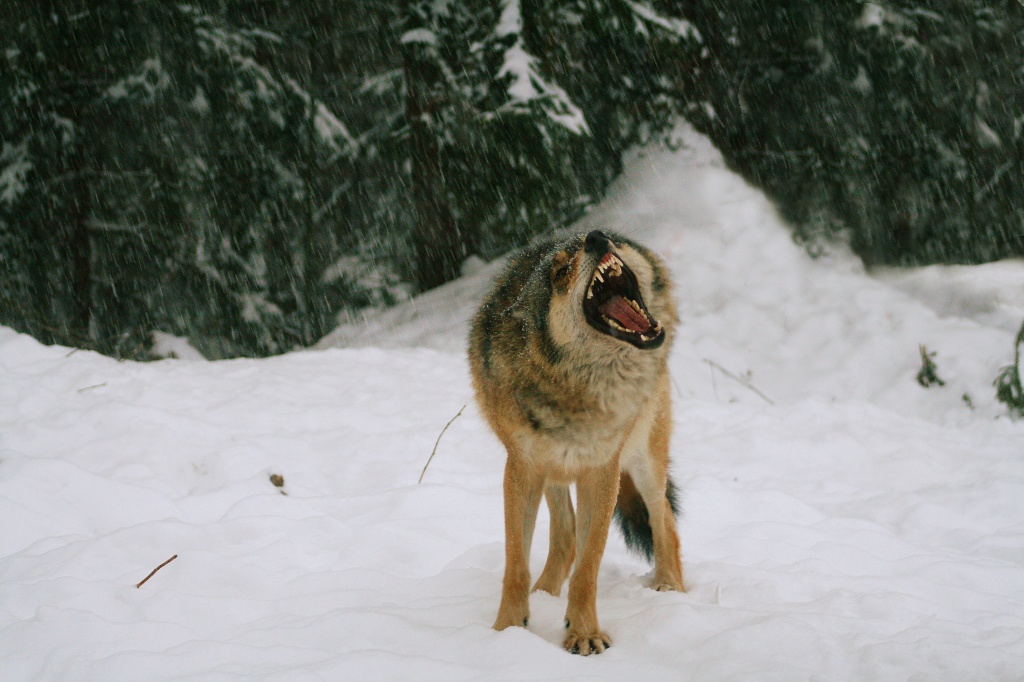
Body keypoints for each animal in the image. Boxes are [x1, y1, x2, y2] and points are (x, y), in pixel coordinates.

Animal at [468, 228, 684, 655]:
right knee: (565, 536)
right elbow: (516, 563)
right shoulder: (521, 467)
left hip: (643, 459)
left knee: (662, 515)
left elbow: (588, 567)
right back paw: (545, 594)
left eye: (613, 238)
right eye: (561, 273)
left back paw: (671, 588)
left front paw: (583, 633)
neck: (577, 390)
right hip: (553, 469)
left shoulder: (602, 471)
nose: (597, 238)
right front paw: (508, 630)